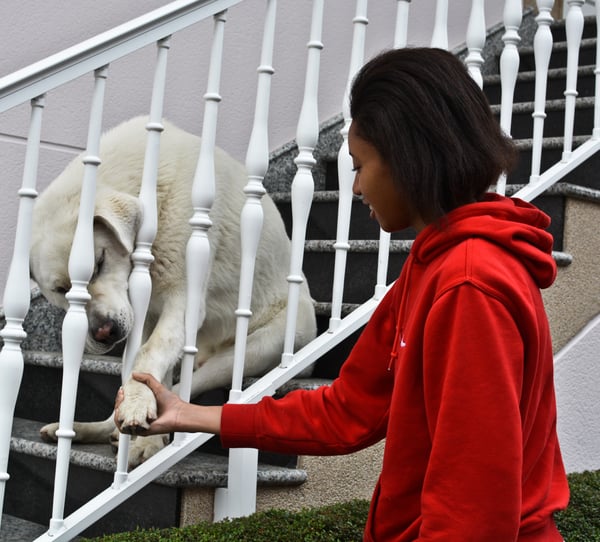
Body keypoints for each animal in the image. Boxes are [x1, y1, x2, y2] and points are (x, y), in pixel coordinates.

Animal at [30, 117, 318, 470]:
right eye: (61, 290)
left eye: (99, 263)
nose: (103, 333)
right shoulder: (147, 312)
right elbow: (148, 368)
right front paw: (146, 440)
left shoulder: (182, 300)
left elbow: (149, 355)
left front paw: (146, 437)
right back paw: (93, 430)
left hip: (256, 349)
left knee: (188, 388)